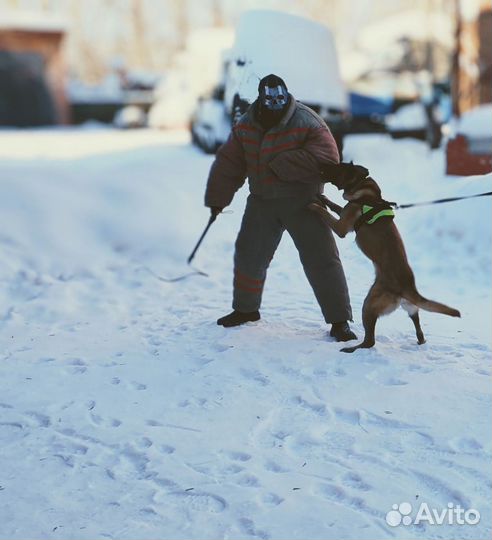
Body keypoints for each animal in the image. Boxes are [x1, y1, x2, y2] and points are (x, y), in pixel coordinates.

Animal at [310, 162, 460, 352]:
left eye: (337, 166)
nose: (319, 164)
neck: (366, 193)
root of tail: (408, 288)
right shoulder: (345, 214)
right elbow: (336, 206)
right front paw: (323, 199)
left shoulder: (341, 227)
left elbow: (325, 213)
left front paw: (314, 205)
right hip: (410, 308)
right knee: (419, 329)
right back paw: (420, 341)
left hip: (368, 305)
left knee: (370, 341)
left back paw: (351, 348)